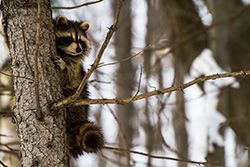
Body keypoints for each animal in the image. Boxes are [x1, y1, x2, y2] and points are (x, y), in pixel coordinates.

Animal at [52, 16, 103, 158]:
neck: (64, 52)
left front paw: (64, 66)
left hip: (76, 99)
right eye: (69, 38)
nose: (79, 50)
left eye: (80, 40)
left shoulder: (75, 66)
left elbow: (68, 76)